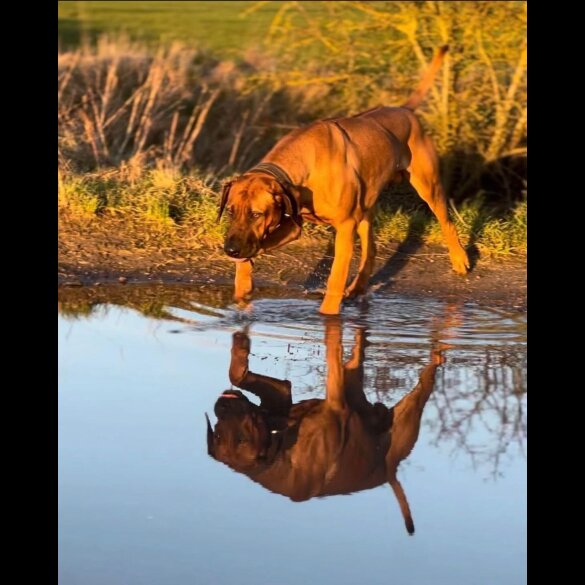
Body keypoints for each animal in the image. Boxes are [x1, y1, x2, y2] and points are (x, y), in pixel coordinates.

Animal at [205, 324, 442, 532]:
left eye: (241, 438)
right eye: (218, 435)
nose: (222, 406)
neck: (278, 446)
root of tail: (390, 473)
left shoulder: (282, 396)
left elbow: (239, 376)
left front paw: (240, 348)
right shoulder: (335, 403)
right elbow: (332, 353)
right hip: (403, 414)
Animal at [217, 45, 468, 314]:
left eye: (256, 214)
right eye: (230, 211)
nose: (230, 249)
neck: (304, 162)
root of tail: (405, 110)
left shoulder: (345, 226)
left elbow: (335, 277)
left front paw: (328, 314)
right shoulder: (291, 220)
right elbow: (258, 246)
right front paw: (242, 285)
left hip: (427, 185)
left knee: (446, 221)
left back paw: (460, 259)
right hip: (366, 203)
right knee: (370, 249)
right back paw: (357, 288)